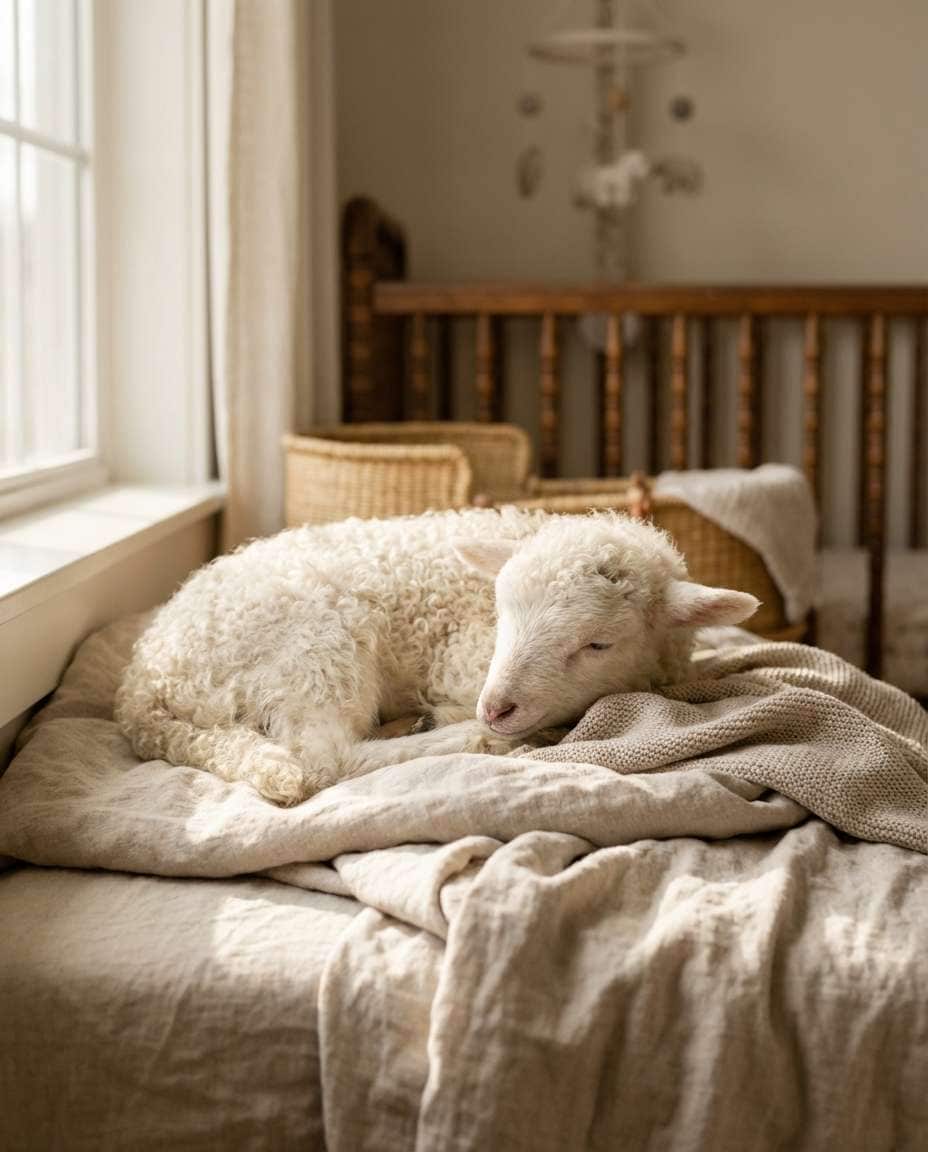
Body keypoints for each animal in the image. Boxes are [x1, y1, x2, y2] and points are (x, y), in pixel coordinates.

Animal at [115, 507, 759, 806]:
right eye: (502, 612)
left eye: (598, 644)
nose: (496, 708)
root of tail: (145, 684)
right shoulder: (462, 665)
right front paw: (475, 729)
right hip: (316, 646)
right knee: (325, 757)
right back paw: (466, 740)